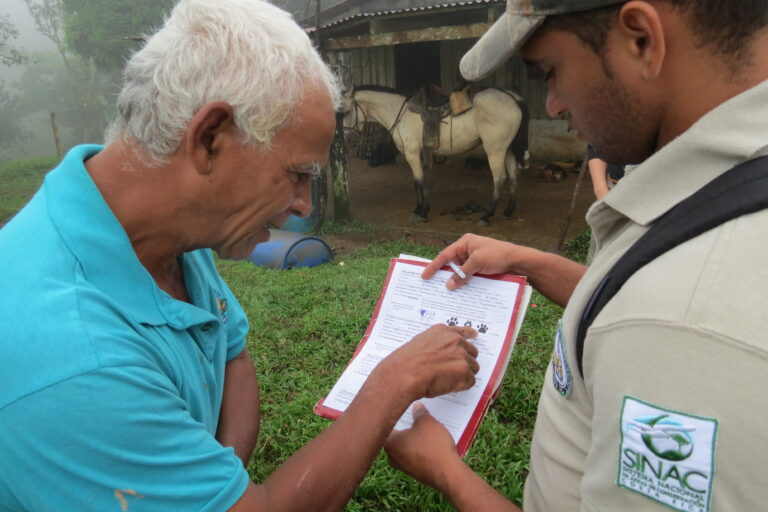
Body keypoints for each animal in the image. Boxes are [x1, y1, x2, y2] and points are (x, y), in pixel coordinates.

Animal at [346, 85, 528, 225]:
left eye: (346, 111)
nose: (349, 139)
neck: (398, 113)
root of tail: (511, 97)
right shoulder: (416, 154)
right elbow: (417, 181)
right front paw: (418, 209)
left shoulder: (412, 153)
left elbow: (419, 181)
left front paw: (422, 212)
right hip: (507, 149)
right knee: (513, 175)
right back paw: (508, 210)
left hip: (495, 150)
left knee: (500, 179)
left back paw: (486, 215)